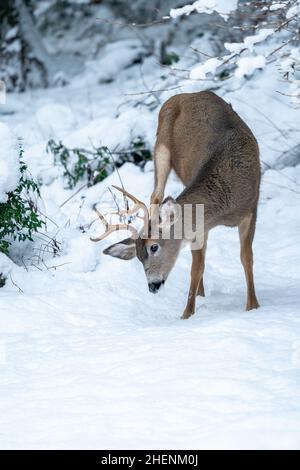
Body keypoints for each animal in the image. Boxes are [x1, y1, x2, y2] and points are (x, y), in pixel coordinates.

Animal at [91, 91, 260, 320]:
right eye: (138, 256)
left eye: (154, 247)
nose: (152, 285)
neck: (225, 206)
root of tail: (186, 95)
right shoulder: (200, 227)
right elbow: (196, 268)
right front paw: (187, 314)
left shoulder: (251, 208)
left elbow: (246, 257)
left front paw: (253, 306)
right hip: (160, 148)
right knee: (156, 196)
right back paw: (200, 294)